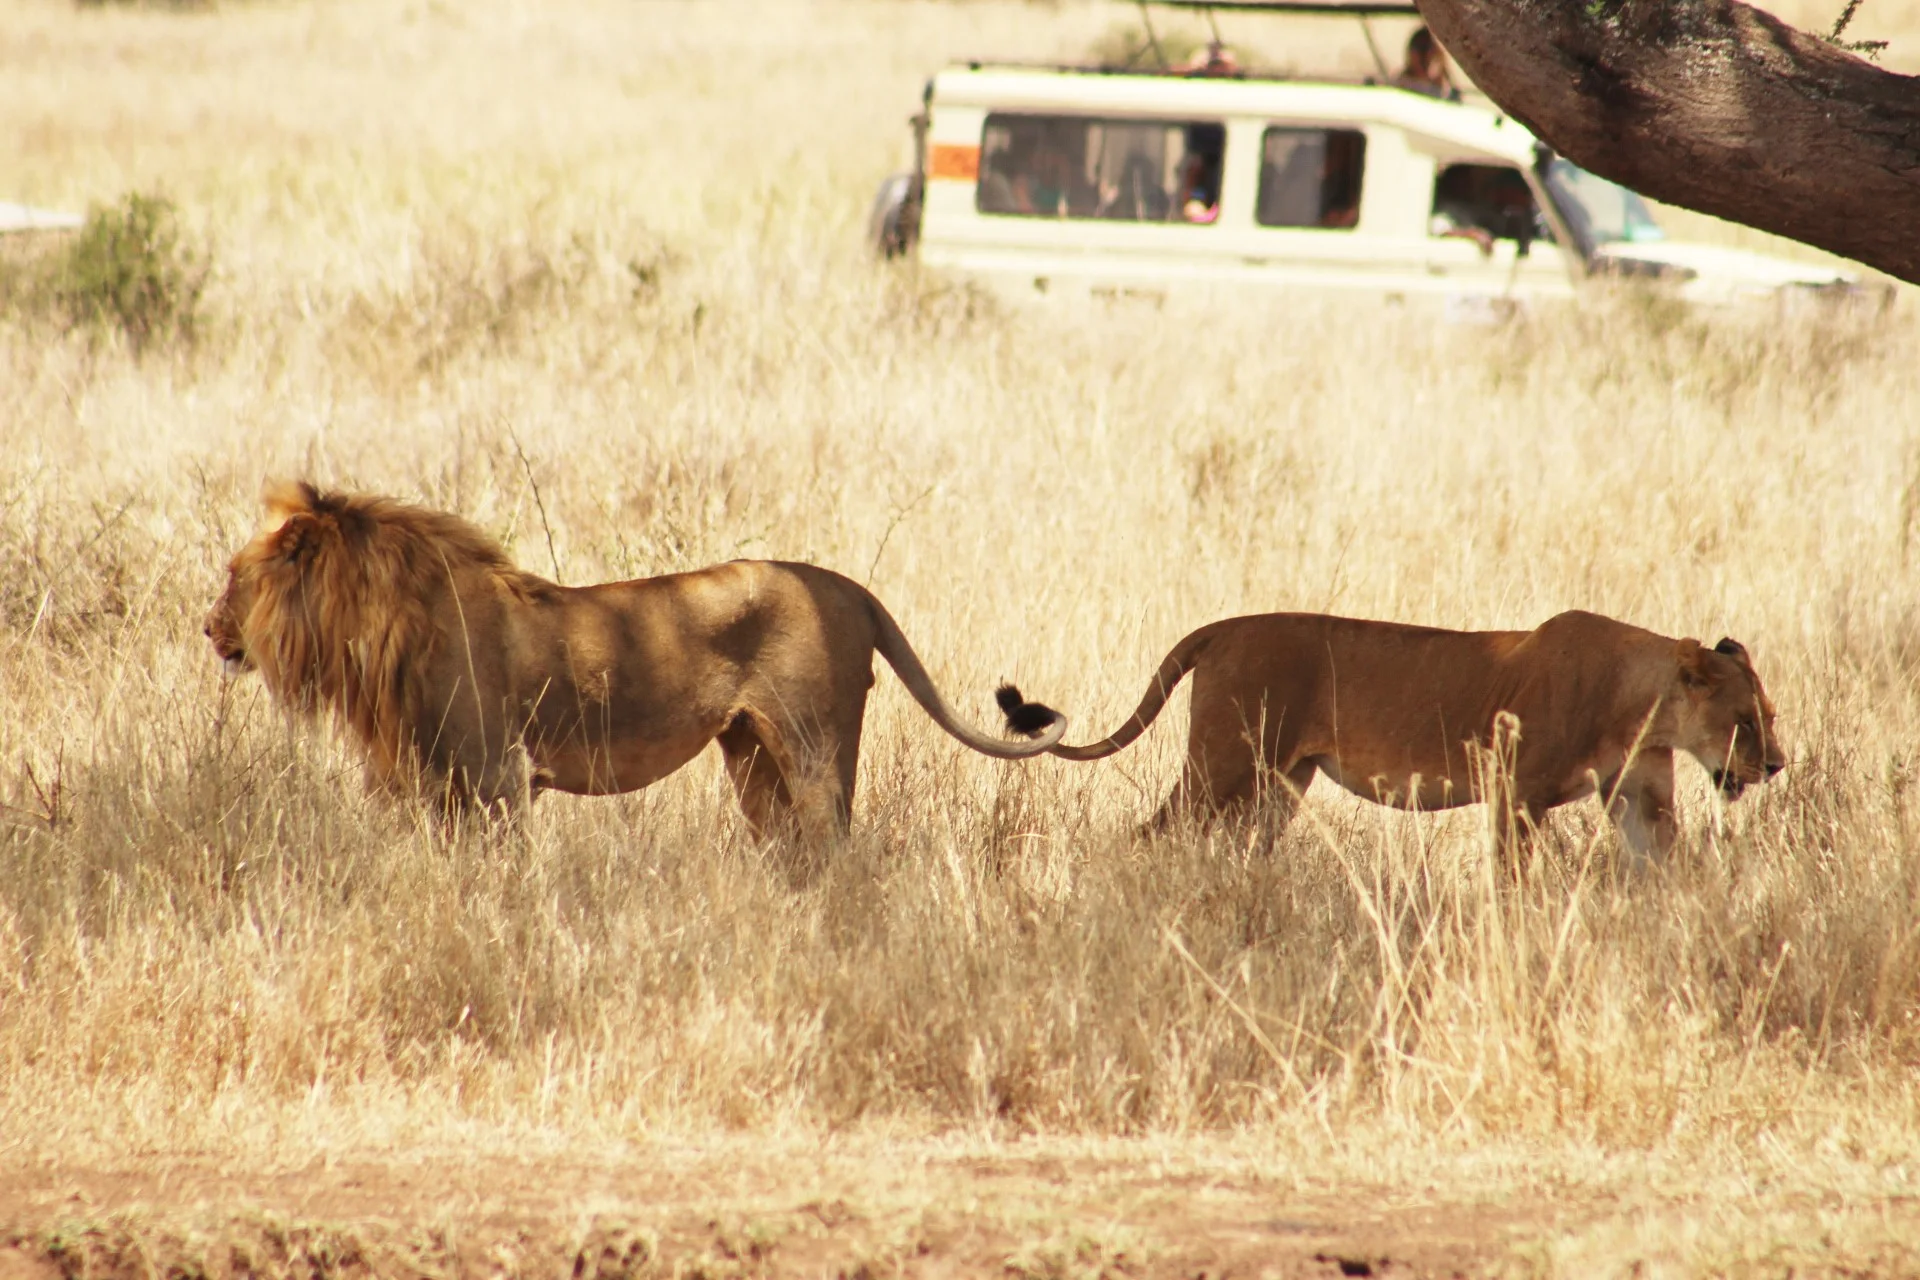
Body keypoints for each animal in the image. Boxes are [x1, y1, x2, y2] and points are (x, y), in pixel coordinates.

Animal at [204, 481, 1066, 839]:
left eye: (235, 577)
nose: (206, 627)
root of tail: (851, 589)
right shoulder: (438, 783)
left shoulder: (498, 777)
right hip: (752, 758)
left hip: (814, 746)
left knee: (836, 846)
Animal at [999, 609, 1785, 860]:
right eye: (1744, 721)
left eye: (1769, 718)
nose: (1777, 765)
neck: (1642, 702)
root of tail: (1227, 625)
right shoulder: (1516, 791)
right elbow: (1513, 878)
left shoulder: (1642, 795)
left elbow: (1662, 864)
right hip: (1222, 763)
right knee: (1152, 832)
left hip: (1281, 782)